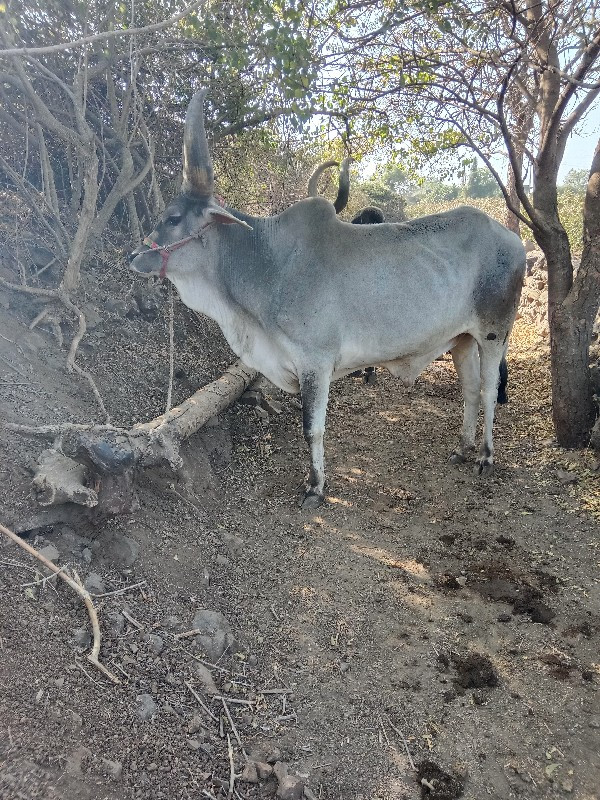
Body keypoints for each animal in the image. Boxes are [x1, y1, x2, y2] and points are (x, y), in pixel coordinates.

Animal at [130, 90, 524, 506]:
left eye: (173, 218)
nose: (134, 256)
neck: (267, 262)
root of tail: (513, 240)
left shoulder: (315, 363)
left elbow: (312, 430)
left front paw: (315, 487)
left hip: (494, 332)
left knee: (488, 391)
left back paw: (485, 456)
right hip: (461, 338)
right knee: (470, 390)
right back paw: (462, 449)